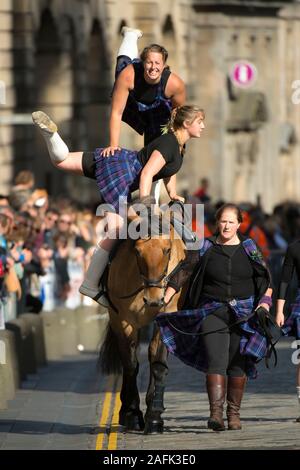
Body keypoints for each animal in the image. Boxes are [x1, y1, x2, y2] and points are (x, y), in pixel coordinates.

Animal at [98, 209, 188, 434]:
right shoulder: (123, 320)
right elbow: (130, 364)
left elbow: (157, 361)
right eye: (138, 252)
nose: (154, 299)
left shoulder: (166, 316)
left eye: (167, 250)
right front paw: (131, 413)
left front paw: (154, 417)